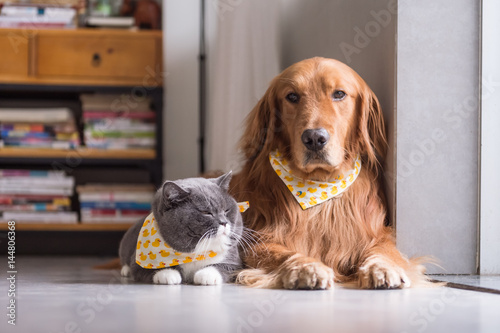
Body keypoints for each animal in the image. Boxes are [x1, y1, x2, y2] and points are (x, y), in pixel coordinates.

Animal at [232, 57, 428, 288]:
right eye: (292, 96)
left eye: (339, 94)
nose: (314, 138)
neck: (320, 188)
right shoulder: (258, 239)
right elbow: (283, 253)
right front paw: (307, 267)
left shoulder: (375, 232)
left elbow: (384, 249)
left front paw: (383, 267)